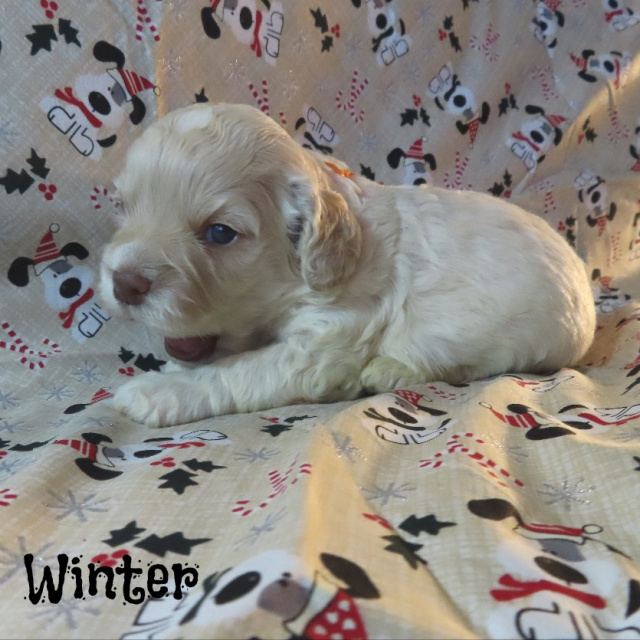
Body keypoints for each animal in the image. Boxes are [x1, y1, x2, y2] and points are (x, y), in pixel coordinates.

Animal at [100, 103, 596, 427]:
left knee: (472, 366)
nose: (124, 284)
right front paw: (173, 371)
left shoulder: (328, 339)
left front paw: (159, 392)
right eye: (122, 206)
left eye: (220, 233)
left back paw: (390, 370)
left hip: (516, 342)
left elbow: (238, 371)